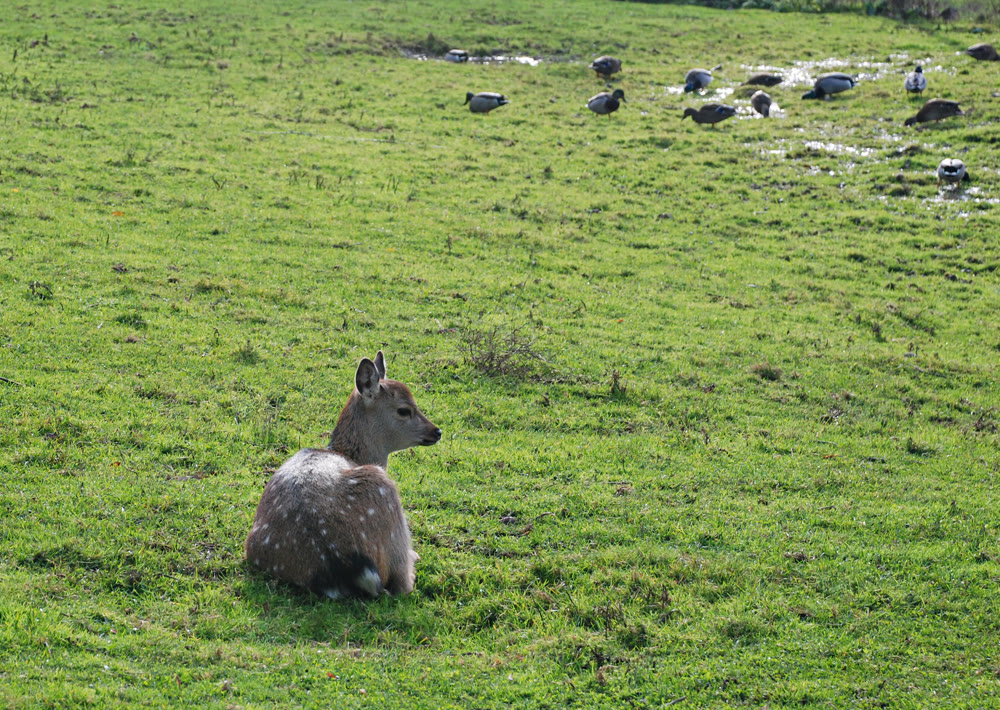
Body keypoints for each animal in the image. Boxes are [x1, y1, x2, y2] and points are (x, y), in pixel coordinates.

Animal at [245, 351, 441, 599]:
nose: (437, 431)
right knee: (401, 583)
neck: (348, 453)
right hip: (387, 497)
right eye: (404, 410)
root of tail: (342, 565)